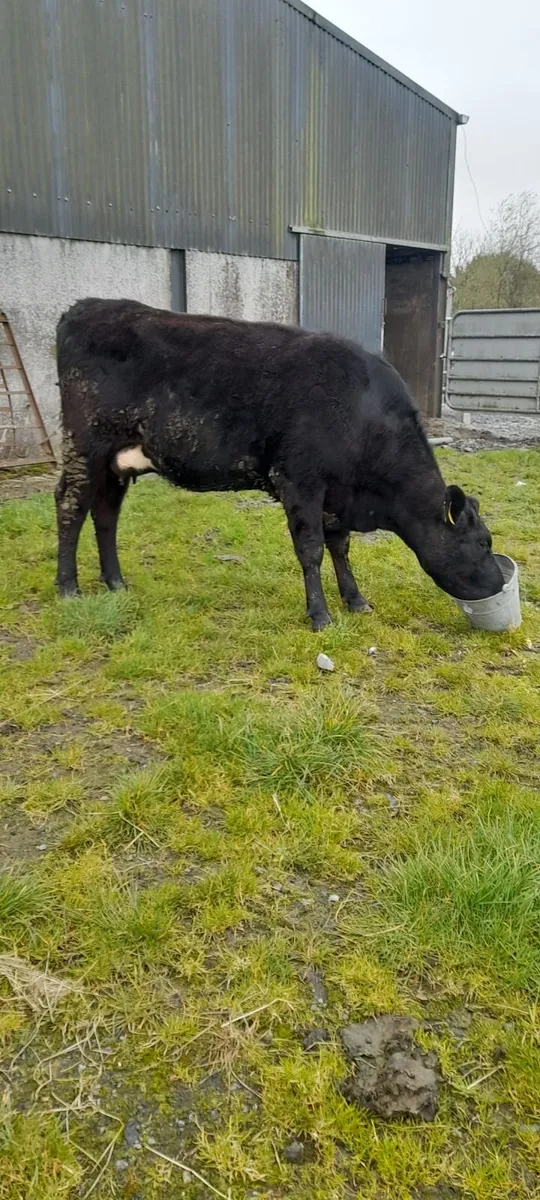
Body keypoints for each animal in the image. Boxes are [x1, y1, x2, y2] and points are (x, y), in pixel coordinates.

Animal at [55, 298, 504, 630]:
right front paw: (320, 615)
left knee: (105, 514)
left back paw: (115, 582)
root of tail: (86, 306)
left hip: (117, 461)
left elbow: (340, 547)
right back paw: (67, 587)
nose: (500, 583)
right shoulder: (300, 480)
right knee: (70, 506)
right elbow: (312, 549)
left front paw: (355, 600)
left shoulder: (336, 494)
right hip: (86, 444)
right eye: (483, 543)